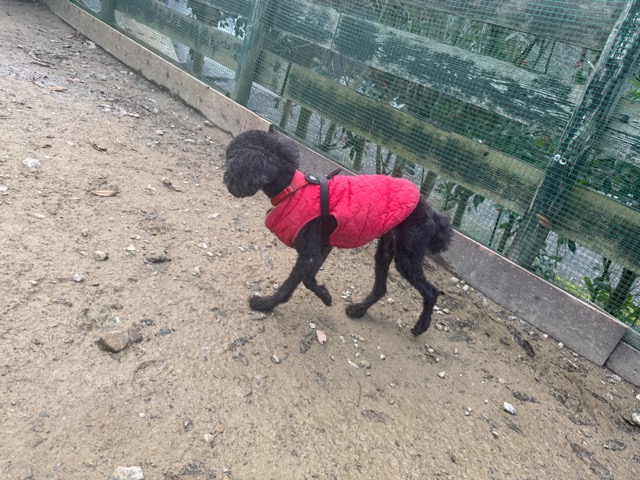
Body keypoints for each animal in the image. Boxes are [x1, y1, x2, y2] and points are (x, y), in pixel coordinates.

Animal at [223, 130, 453, 336]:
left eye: (232, 157)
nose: (226, 179)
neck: (292, 189)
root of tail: (432, 214)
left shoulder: (309, 255)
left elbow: (290, 284)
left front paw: (266, 304)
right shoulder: (321, 248)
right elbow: (308, 280)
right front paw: (325, 296)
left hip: (407, 256)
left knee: (431, 292)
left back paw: (421, 327)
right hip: (386, 250)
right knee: (381, 288)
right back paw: (359, 309)